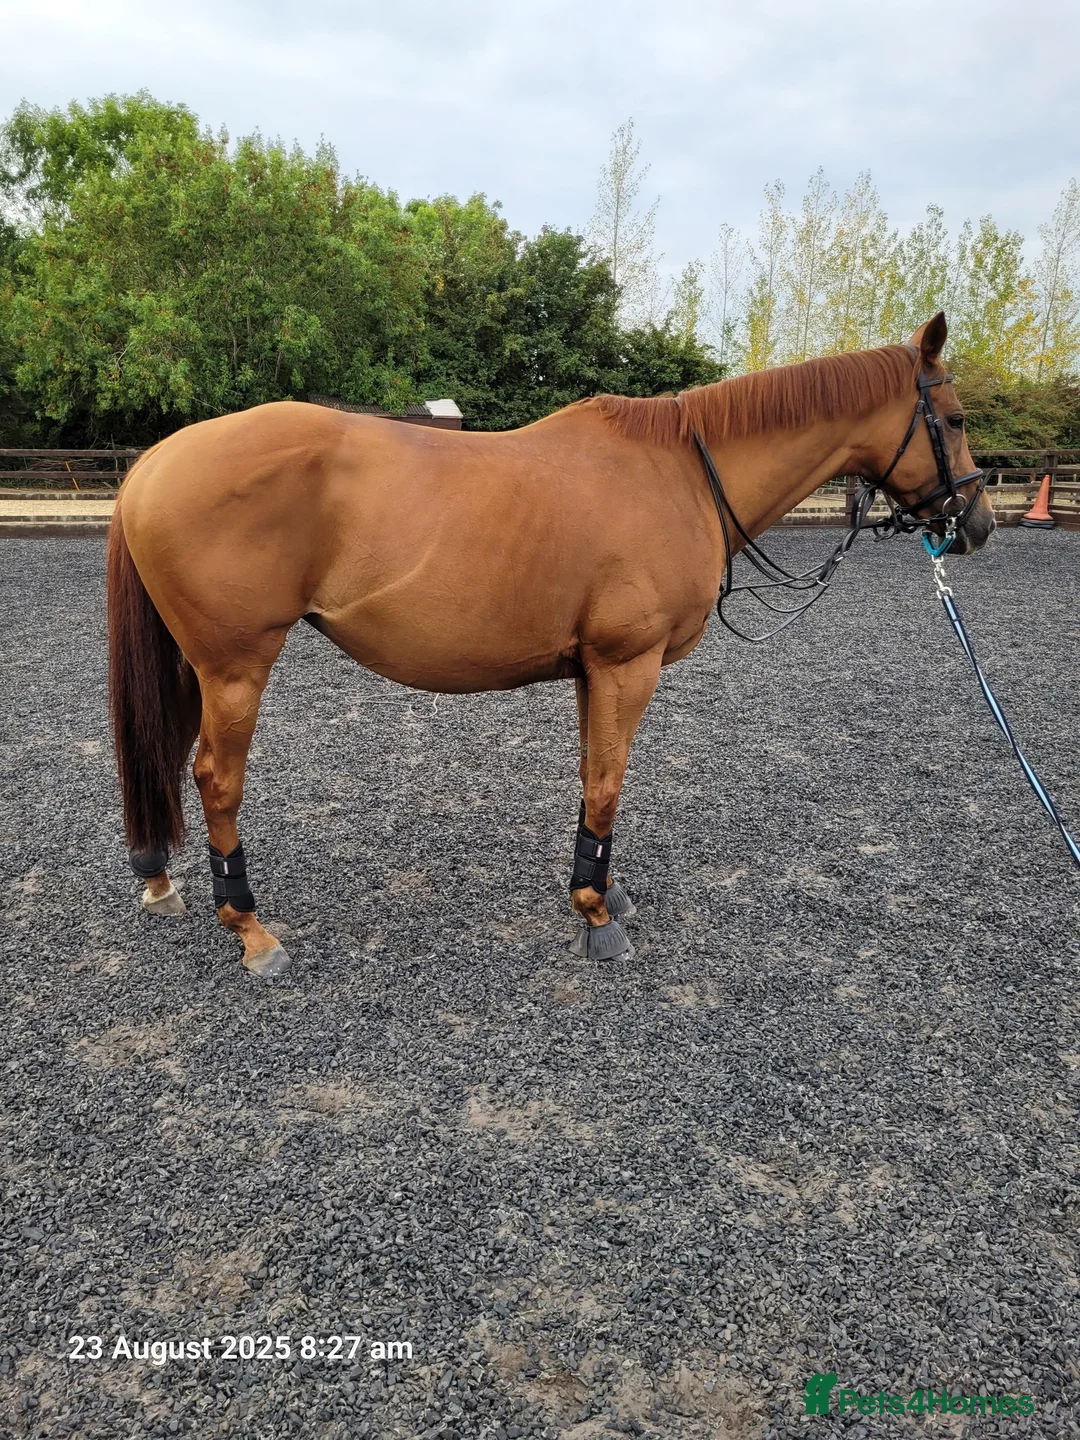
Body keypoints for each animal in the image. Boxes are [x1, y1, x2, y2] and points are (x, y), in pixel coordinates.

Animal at [107, 311, 994, 977]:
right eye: (952, 420)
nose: (976, 524)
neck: (678, 474)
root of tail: (154, 463)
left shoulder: (591, 671)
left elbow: (592, 778)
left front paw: (603, 884)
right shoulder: (627, 666)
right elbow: (607, 782)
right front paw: (596, 913)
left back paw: (161, 881)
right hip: (235, 668)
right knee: (216, 781)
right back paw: (249, 928)